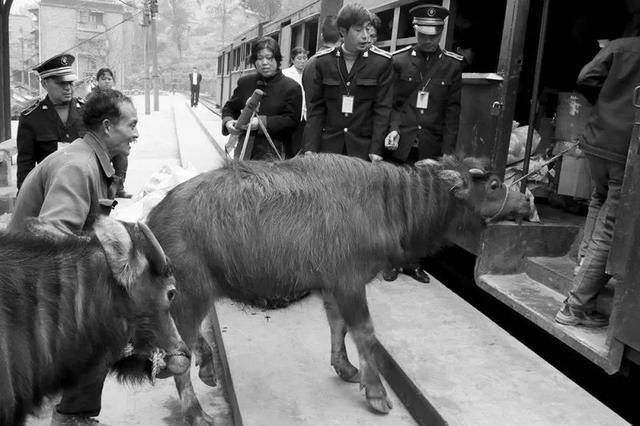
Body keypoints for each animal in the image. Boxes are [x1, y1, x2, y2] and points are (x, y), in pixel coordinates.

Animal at [148, 153, 532, 422]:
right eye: (494, 185)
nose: (528, 200)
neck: (389, 204)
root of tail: (153, 217)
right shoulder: (350, 281)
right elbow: (364, 332)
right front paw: (375, 392)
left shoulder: (332, 284)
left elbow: (338, 325)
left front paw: (345, 367)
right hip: (189, 295)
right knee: (180, 354)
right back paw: (197, 411)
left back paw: (208, 369)